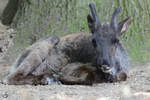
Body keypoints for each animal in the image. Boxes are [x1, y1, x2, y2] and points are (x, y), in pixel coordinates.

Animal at [3, 3, 132, 85]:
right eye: (94, 40)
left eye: (116, 40)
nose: (104, 63)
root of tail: (17, 61)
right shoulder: (72, 66)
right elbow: (89, 77)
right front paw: (58, 77)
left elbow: (123, 76)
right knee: (9, 78)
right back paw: (47, 79)